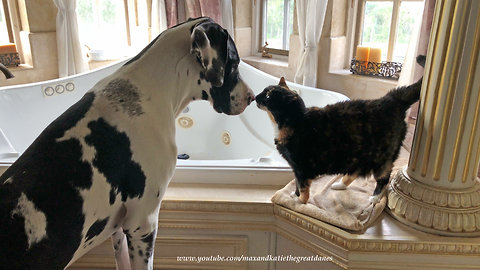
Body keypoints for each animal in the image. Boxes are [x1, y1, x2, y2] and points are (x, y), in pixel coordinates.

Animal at [256, 56, 426, 204]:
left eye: (269, 95)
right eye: (264, 90)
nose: (256, 96)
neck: (293, 121)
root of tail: (390, 99)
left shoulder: (302, 167)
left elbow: (303, 187)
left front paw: (300, 201)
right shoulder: (295, 168)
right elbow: (297, 184)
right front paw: (294, 194)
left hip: (381, 158)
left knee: (384, 178)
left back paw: (375, 197)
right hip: (359, 154)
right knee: (355, 171)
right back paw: (340, 184)